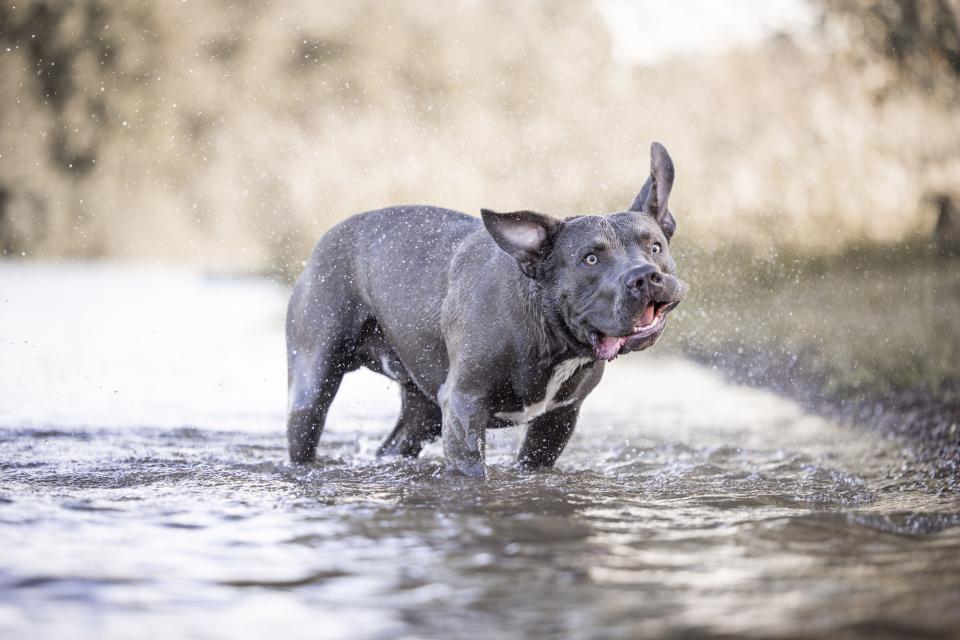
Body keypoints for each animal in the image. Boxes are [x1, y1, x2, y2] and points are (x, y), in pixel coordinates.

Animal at [286, 144, 688, 476]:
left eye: (654, 247)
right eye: (590, 259)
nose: (644, 276)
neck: (551, 336)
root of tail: (326, 238)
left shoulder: (556, 421)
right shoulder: (465, 406)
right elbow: (472, 471)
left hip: (423, 410)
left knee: (396, 444)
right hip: (313, 384)